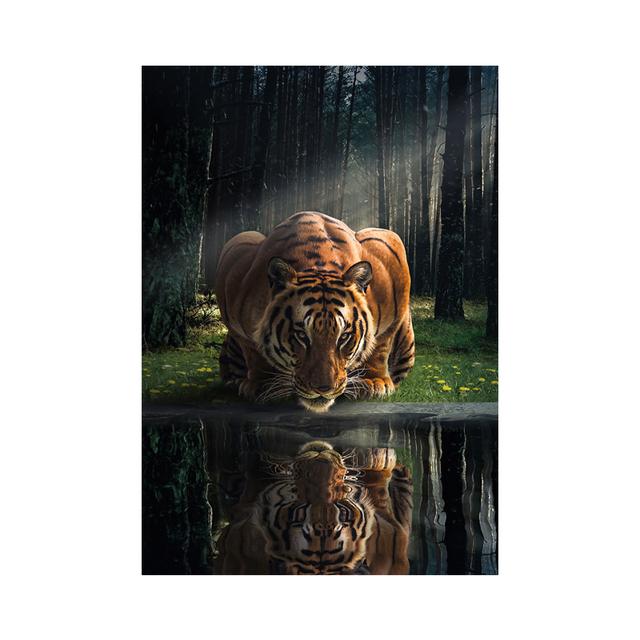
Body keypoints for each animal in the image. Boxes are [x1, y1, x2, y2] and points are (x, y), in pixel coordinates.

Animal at [215, 211, 415, 412]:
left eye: (344, 337)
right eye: (302, 335)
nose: (323, 389)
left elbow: (380, 345)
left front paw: (373, 382)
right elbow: (253, 351)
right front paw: (263, 385)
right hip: (243, 237)